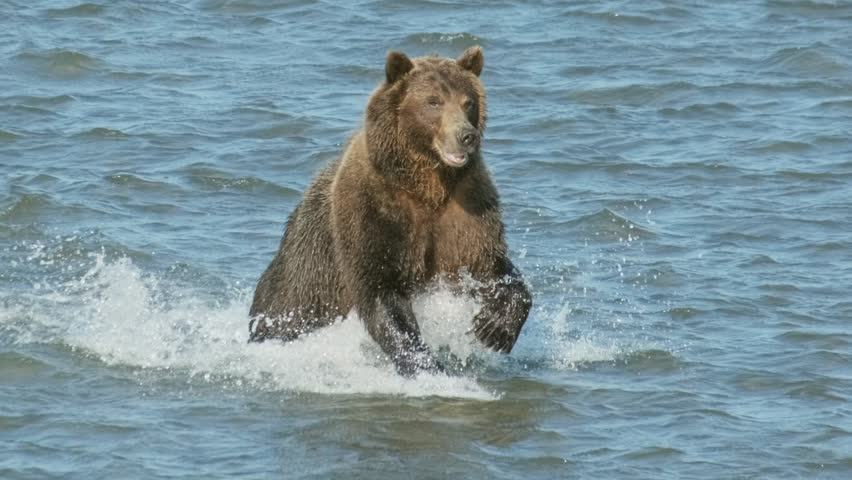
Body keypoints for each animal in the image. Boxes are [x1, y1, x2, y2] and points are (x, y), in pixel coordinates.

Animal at [249, 46, 532, 375]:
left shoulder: (467, 209)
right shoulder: (373, 211)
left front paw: (494, 328)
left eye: (468, 102)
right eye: (433, 101)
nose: (466, 135)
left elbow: (491, 267)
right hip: (303, 282)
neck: (426, 184)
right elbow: (380, 291)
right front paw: (425, 365)